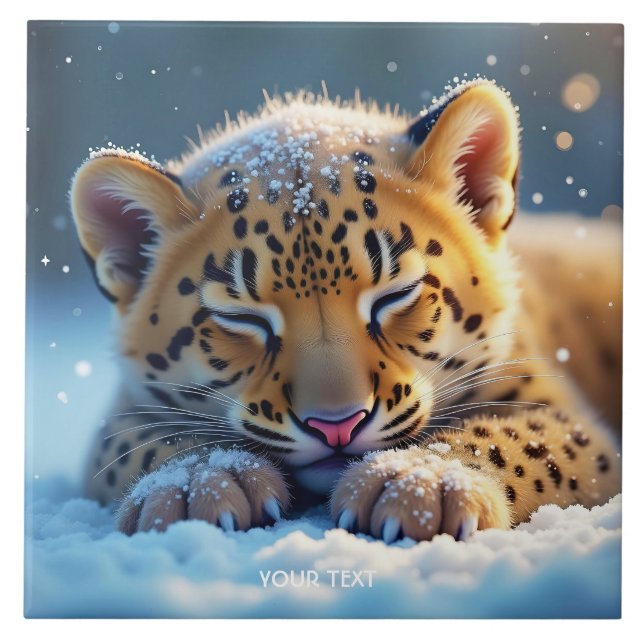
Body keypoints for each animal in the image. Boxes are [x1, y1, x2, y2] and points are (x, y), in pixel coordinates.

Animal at [70, 78, 622, 542]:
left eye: (395, 294)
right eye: (243, 319)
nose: (337, 425)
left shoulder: (563, 413)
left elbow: (518, 439)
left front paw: (421, 483)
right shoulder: (120, 416)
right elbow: (142, 443)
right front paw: (197, 484)